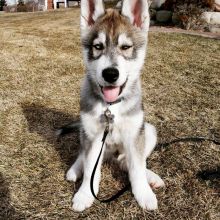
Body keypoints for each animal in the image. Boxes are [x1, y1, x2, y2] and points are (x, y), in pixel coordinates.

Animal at [66, 0, 164, 212]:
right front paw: (85, 194)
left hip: (148, 130)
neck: (111, 108)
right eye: (98, 46)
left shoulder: (135, 134)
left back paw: (150, 176)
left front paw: (144, 193)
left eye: (126, 47)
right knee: (83, 156)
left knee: (128, 162)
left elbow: (137, 168)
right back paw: (74, 170)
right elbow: (90, 170)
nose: (110, 74)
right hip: (85, 133)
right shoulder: (93, 136)